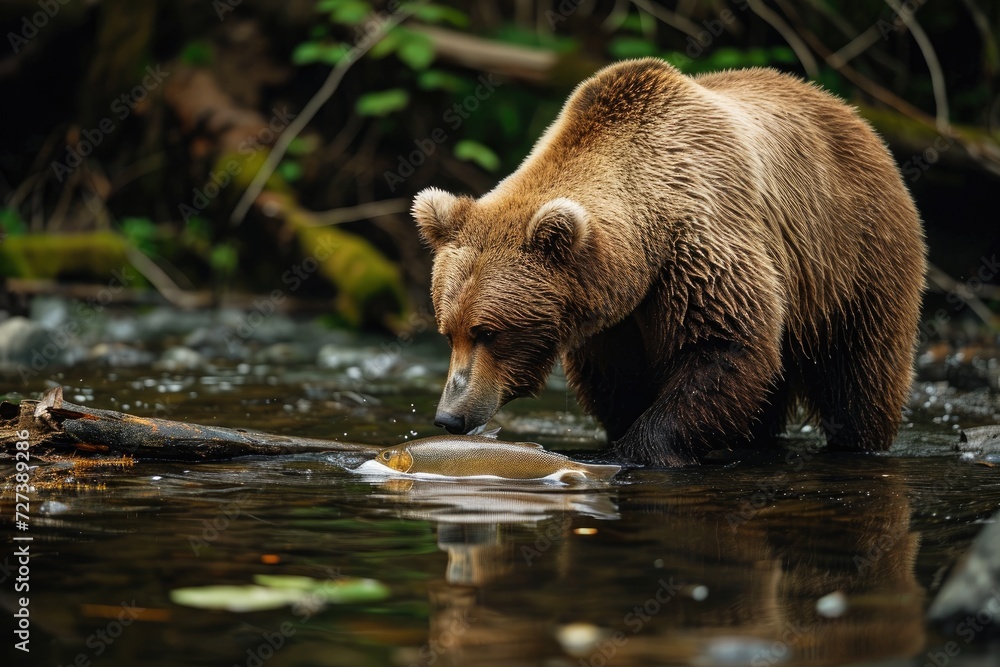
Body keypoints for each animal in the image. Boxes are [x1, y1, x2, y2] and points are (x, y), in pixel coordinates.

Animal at [411, 57, 926, 466]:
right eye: (448, 331)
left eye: (488, 332)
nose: (449, 416)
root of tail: (850, 113)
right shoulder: (610, 319)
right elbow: (621, 381)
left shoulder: (701, 247)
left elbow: (722, 347)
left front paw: (638, 450)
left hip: (855, 253)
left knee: (859, 373)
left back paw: (859, 440)